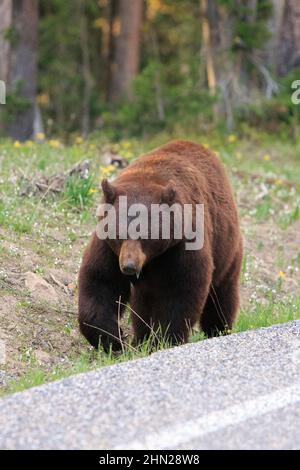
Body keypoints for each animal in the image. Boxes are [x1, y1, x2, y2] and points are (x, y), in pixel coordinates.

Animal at [78, 141, 243, 350]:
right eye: (119, 234)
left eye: (146, 235)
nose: (129, 267)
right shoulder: (108, 247)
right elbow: (100, 281)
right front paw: (114, 339)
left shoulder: (182, 245)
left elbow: (181, 290)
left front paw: (163, 340)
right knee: (143, 302)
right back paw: (140, 337)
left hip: (226, 249)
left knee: (221, 295)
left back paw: (218, 330)